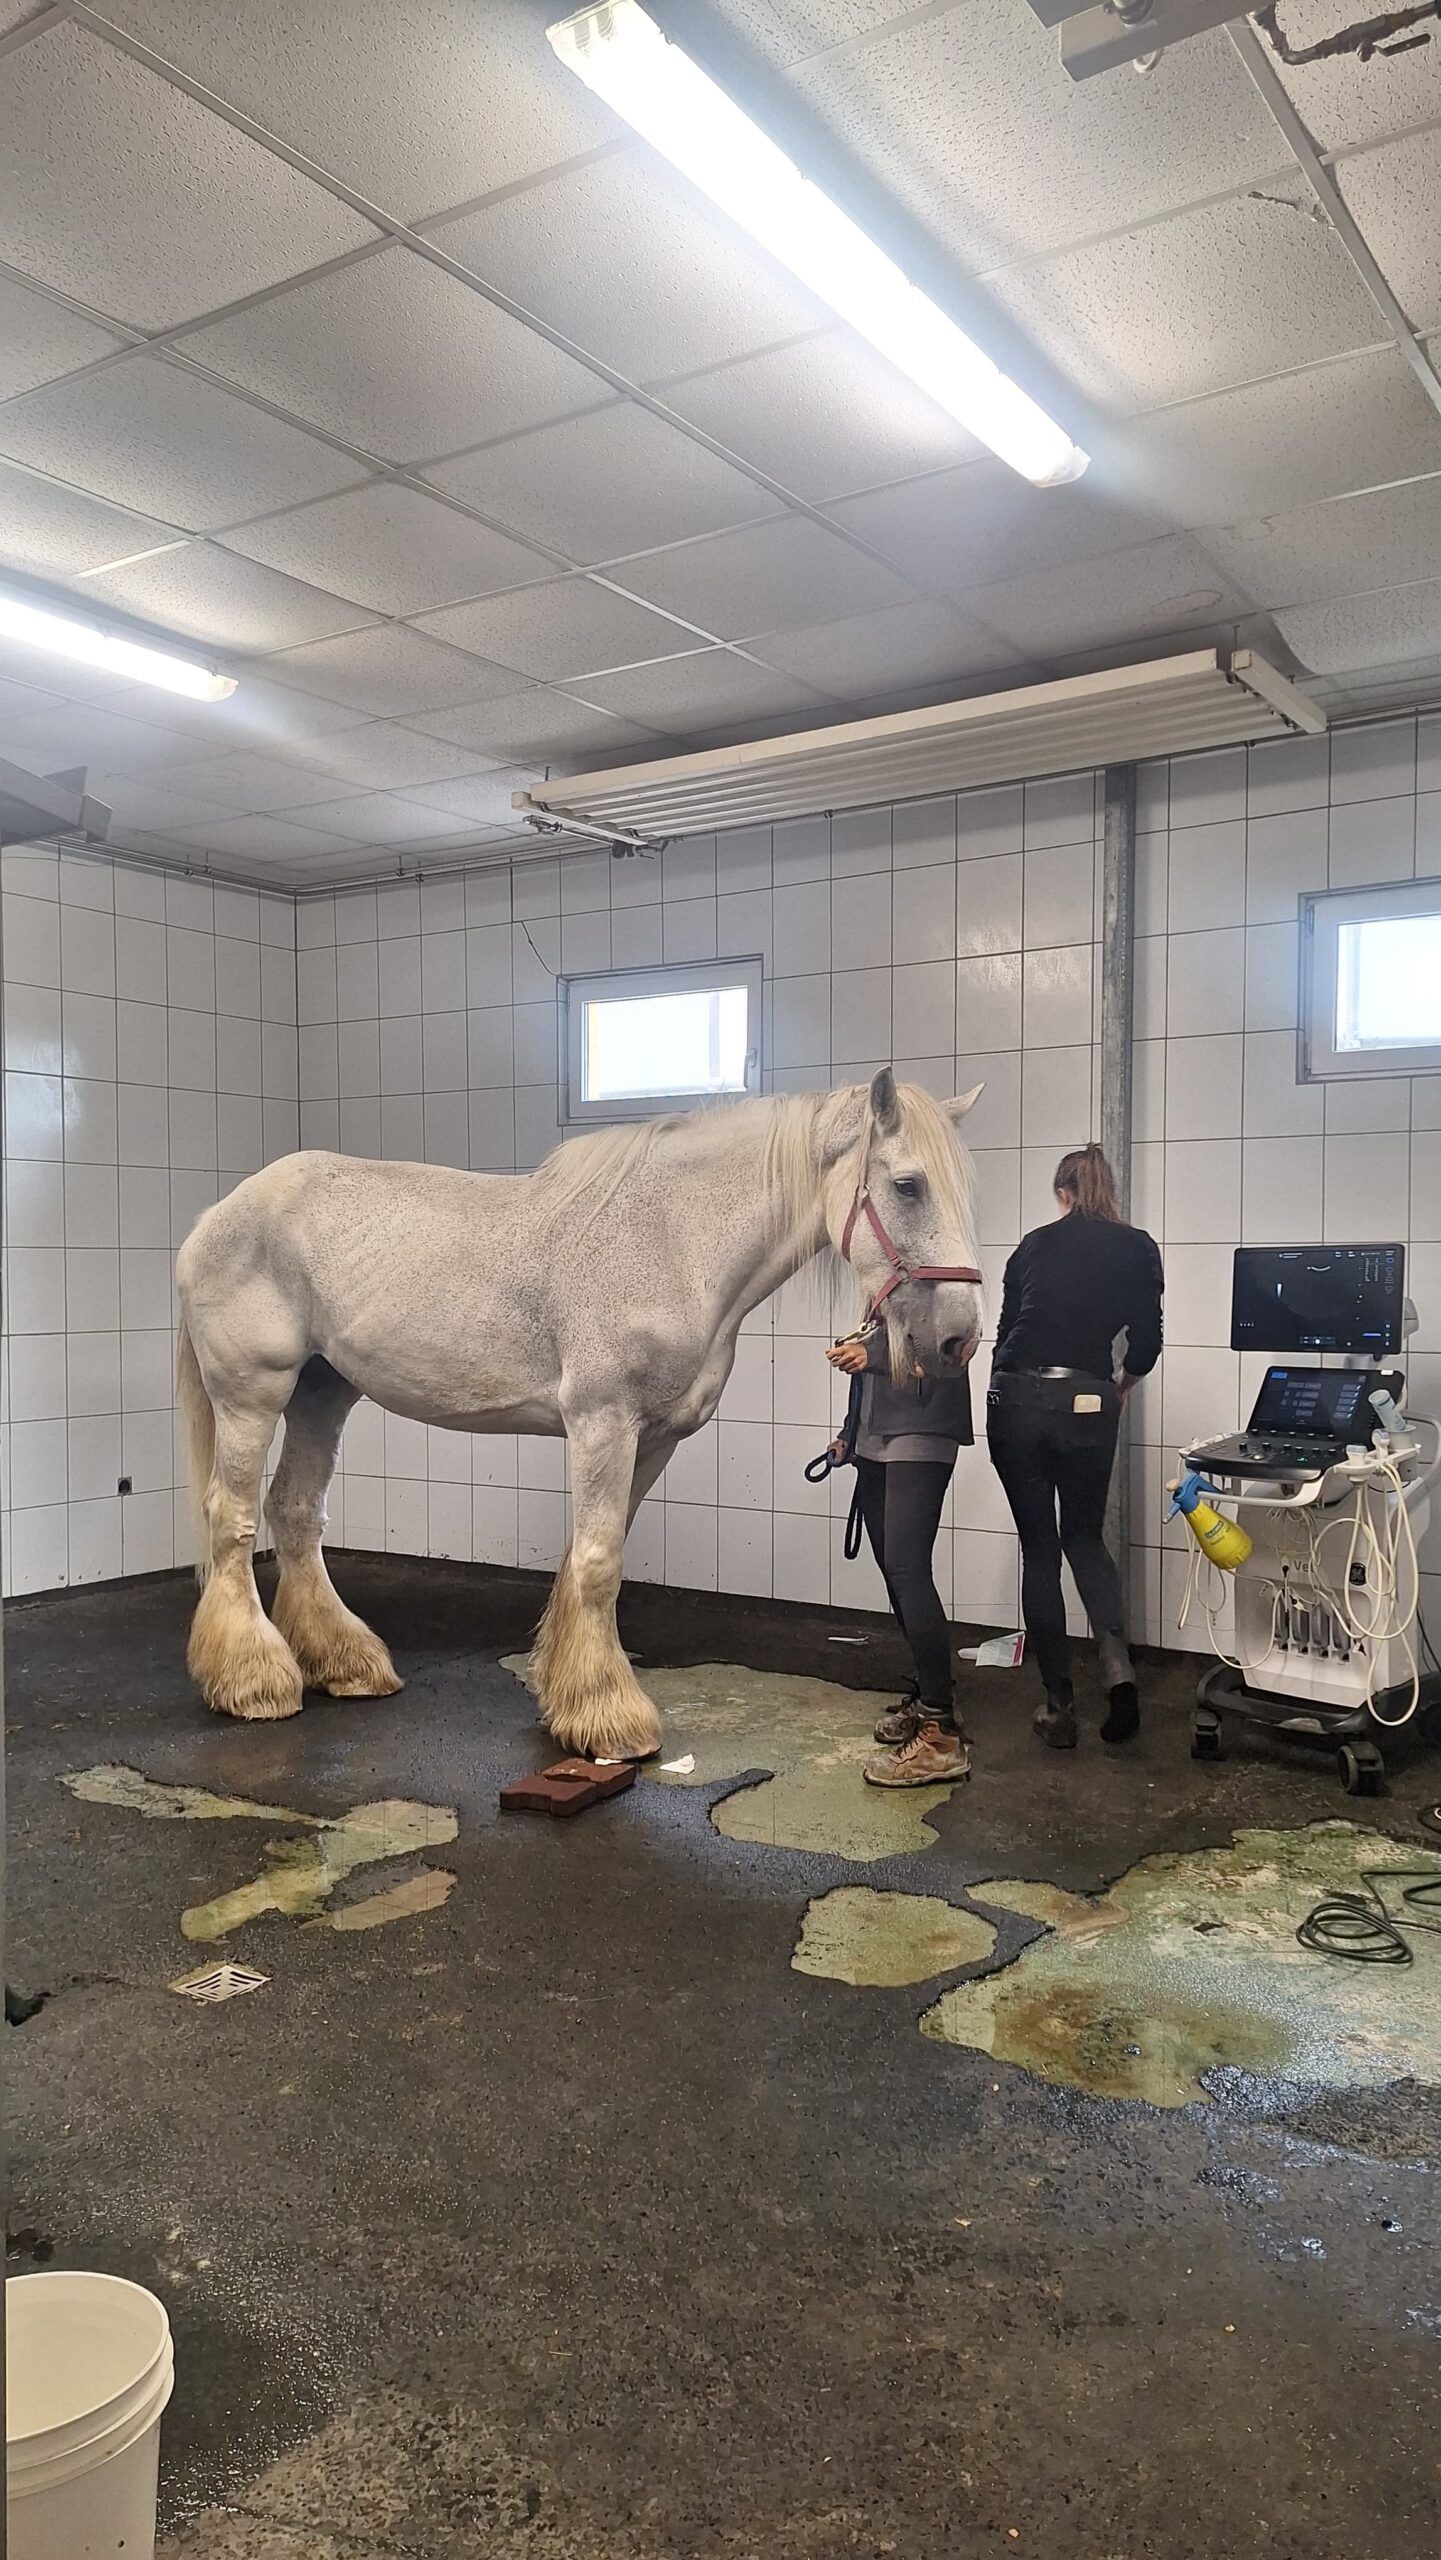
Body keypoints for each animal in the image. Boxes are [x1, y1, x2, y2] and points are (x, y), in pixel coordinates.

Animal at [175, 1068, 984, 1761]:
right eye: (907, 1185)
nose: (958, 1339)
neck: (673, 1242)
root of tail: (216, 1217)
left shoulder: (654, 1439)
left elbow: (595, 1552)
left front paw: (568, 1694)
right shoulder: (602, 1423)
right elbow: (598, 1563)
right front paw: (610, 1718)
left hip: (323, 1392)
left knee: (295, 1511)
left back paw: (343, 1663)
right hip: (254, 1394)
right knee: (232, 1517)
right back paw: (254, 1680)